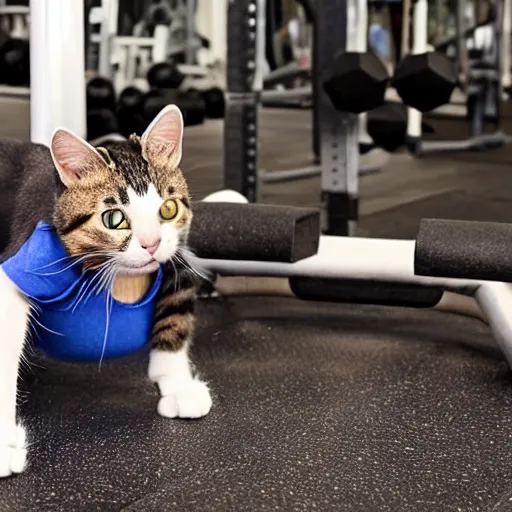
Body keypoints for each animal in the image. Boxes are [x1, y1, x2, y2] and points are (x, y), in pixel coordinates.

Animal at [0, 104, 212, 480]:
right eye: (114, 219)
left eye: (168, 209)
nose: (151, 244)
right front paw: (5, 444)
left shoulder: (176, 258)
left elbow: (177, 313)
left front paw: (178, 384)